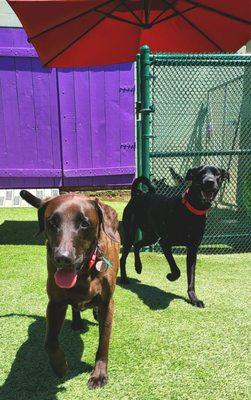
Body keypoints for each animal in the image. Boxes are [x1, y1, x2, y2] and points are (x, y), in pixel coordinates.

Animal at [19, 189, 119, 390]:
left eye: (84, 223)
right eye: (52, 222)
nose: (62, 258)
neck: (85, 272)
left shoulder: (107, 304)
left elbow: (103, 341)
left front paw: (99, 374)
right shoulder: (55, 304)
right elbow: (49, 342)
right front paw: (60, 366)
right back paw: (77, 322)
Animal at [119, 164, 229, 308]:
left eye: (217, 174)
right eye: (200, 173)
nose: (209, 182)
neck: (191, 211)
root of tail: (137, 195)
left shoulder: (192, 250)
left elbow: (191, 277)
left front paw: (194, 299)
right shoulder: (165, 243)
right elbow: (177, 270)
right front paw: (170, 276)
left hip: (152, 236)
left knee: (137, 245)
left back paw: (138, 267)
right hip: (131, 233)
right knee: (124, 256)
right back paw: (124, 278)